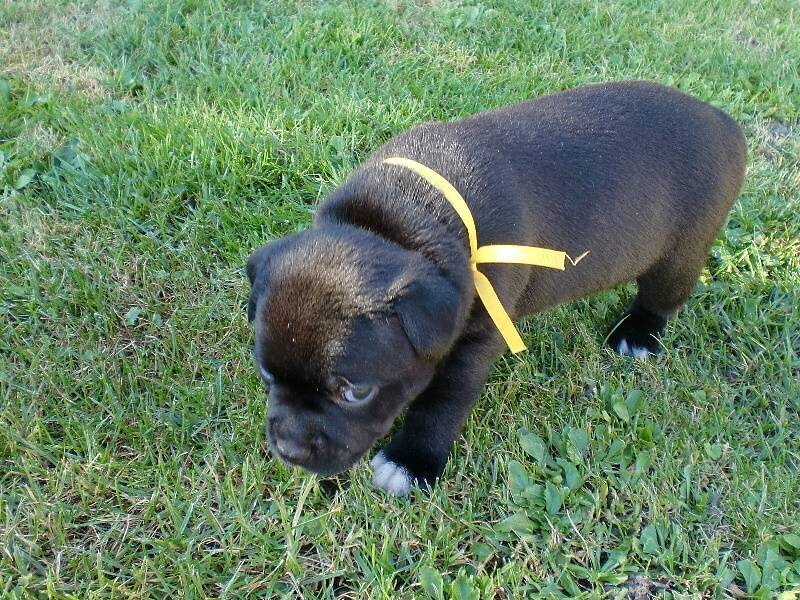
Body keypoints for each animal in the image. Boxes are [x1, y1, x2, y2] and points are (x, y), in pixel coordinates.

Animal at [246, 81, 746, 495]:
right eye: (267, 374)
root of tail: (724, 123)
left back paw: (638, 334)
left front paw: (412, 462)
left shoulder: (472, 342)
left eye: (356, 392)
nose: (289, 449)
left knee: (664, 297)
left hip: (680, 252)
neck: (399, 221)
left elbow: (441, 402)